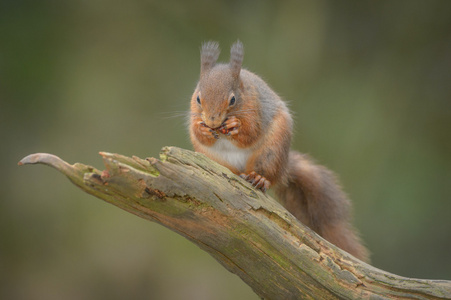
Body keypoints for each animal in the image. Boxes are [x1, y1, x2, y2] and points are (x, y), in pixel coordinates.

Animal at [189, 41, 370, 262]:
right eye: (199, 98)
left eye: (233, 100)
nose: (213, 121)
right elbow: (197, 131)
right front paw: (202, 129)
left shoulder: (257, 108)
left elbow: (251, 131)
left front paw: (235, 126)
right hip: (214, 159)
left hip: (272, 152)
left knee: (267, 174)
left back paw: (259, 178)